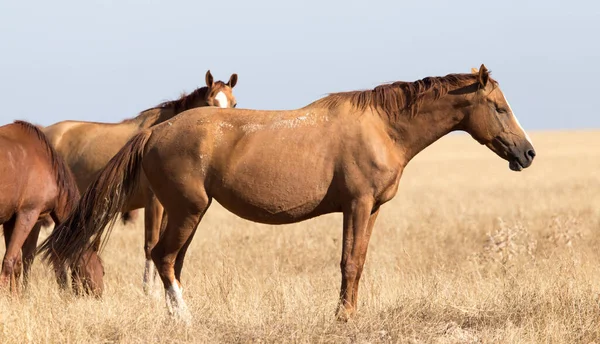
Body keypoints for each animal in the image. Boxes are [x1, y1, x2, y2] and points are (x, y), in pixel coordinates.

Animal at [0, 120, 103, 296]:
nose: (100, 295)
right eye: (100, 270)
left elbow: (19, 261)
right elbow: (10, 260)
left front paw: (16, 297)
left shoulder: (12, 219)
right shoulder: (28, 214)